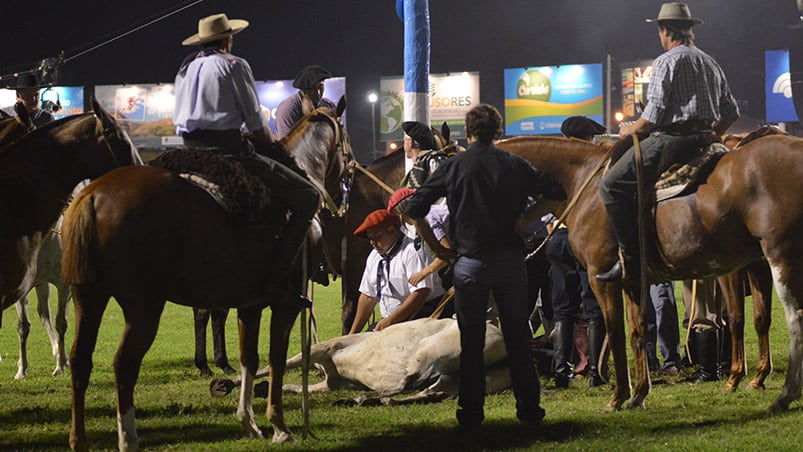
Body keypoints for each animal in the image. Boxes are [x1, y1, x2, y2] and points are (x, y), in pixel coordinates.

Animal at [61, 100, 350, 450]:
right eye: (345, 143)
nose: (343, 195)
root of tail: (93, 196)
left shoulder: (249, 305)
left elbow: (249, 359)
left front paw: (248, 423)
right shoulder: (286, 305)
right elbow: (276, 360)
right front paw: (279, 426)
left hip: (88, 298)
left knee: (80, 360)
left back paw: (78, 439)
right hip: (143, 308)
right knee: (125, 364)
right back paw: (128, 438)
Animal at [496, 131, 803, 414]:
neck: (582, 184)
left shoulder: (601, 279)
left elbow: (615, 333)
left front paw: (618, 397)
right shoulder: (632, 281)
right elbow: (637, 332)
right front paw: (638, 394)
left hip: (780, 255)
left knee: (795, 319)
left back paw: (785, 395)